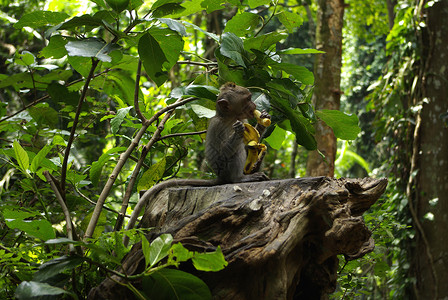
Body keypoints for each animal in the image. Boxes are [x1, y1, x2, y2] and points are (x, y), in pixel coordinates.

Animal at [122, 82, 270, 244]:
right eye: (247, 99)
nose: (254, 104)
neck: (230, 117)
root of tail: (221, 177)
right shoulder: (219, 125)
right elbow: (222, 154)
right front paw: (238, 131)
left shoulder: (243, 120)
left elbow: (250, 143)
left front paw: (263, 121)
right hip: (226, 170)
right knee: (235, 154)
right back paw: (239, 178)